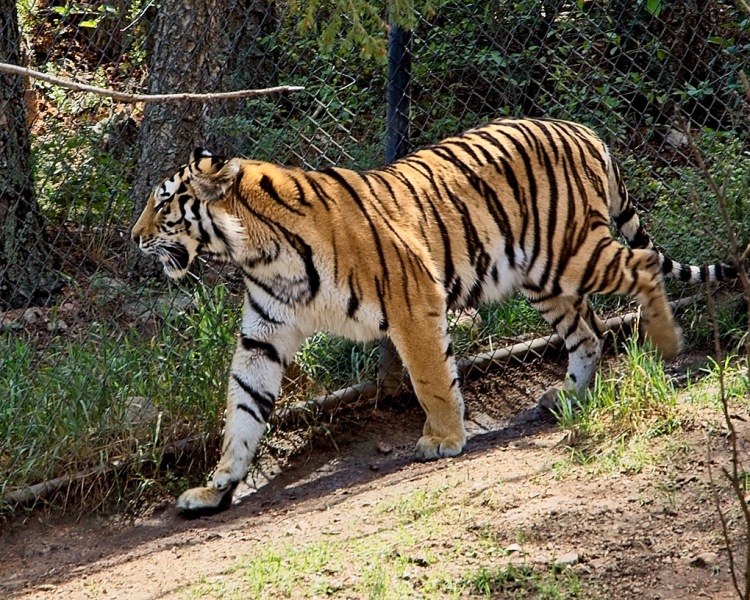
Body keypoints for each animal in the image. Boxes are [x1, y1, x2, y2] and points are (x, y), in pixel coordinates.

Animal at [132, 117, 736, 516]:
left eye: (163, 205)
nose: (133, 238)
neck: (256, 250)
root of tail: (585, 131)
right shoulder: (265, 334)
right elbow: (241, 411)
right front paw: (217, 487)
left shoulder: (412, 299)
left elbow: (430, 377)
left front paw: (444, 438)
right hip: (543, 275)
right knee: (587, 332)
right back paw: (566, 395)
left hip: (574, 252)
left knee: (643, 266)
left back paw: (667, 344)